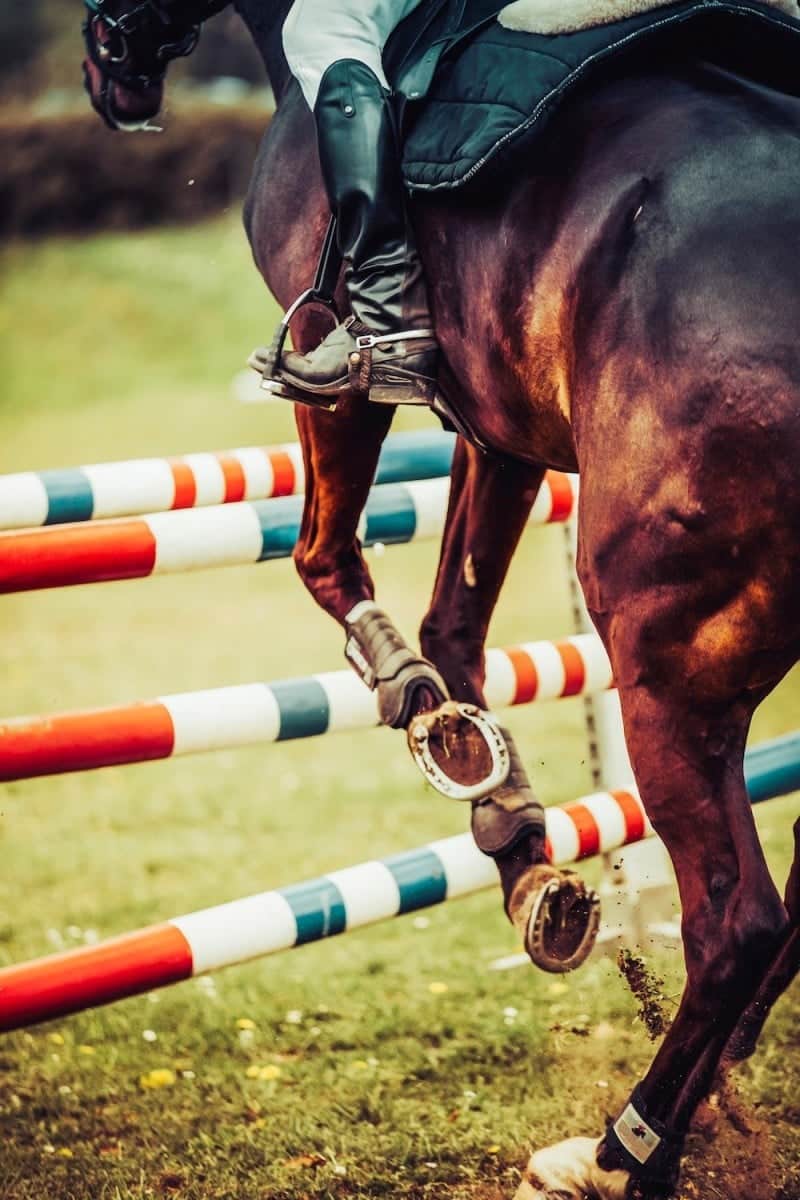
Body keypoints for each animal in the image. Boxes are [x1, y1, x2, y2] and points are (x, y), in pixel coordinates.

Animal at [82, 4, 800, 1195]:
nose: (110, 69)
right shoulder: (499, 427)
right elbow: (453, 628)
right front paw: (512, 837)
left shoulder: (339, 359)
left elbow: (326, 561)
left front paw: (422, 713)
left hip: (664, 659)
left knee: (739, 923)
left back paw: (624, 1149)